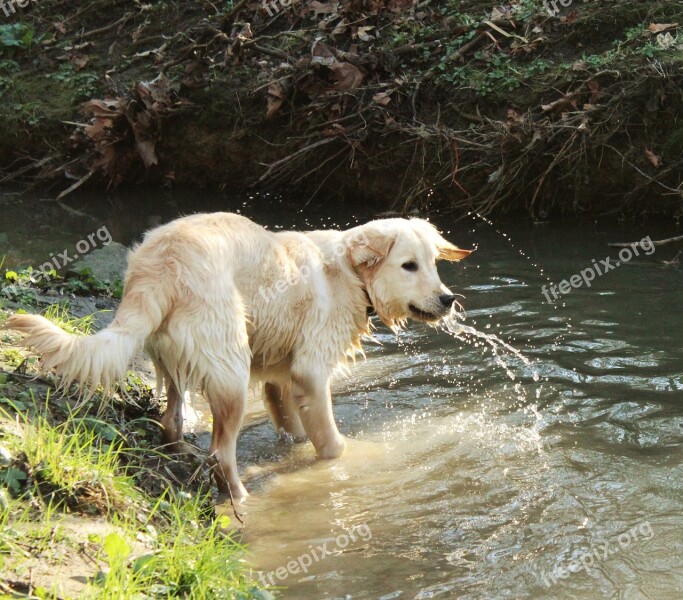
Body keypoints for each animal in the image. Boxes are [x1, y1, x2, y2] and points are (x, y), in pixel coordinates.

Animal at [2, 214, 472, 496]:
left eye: (433, 263)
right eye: (408, 266)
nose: (448, 299)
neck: (350, 273)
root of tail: (159, 264)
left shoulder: (279, 379)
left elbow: (293, 430)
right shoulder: (310, 373)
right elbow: (331, 443)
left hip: (174, 363)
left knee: (171, 422)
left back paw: (184, 456)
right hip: (231, 372)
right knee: (220, 452)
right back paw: (241, 497)